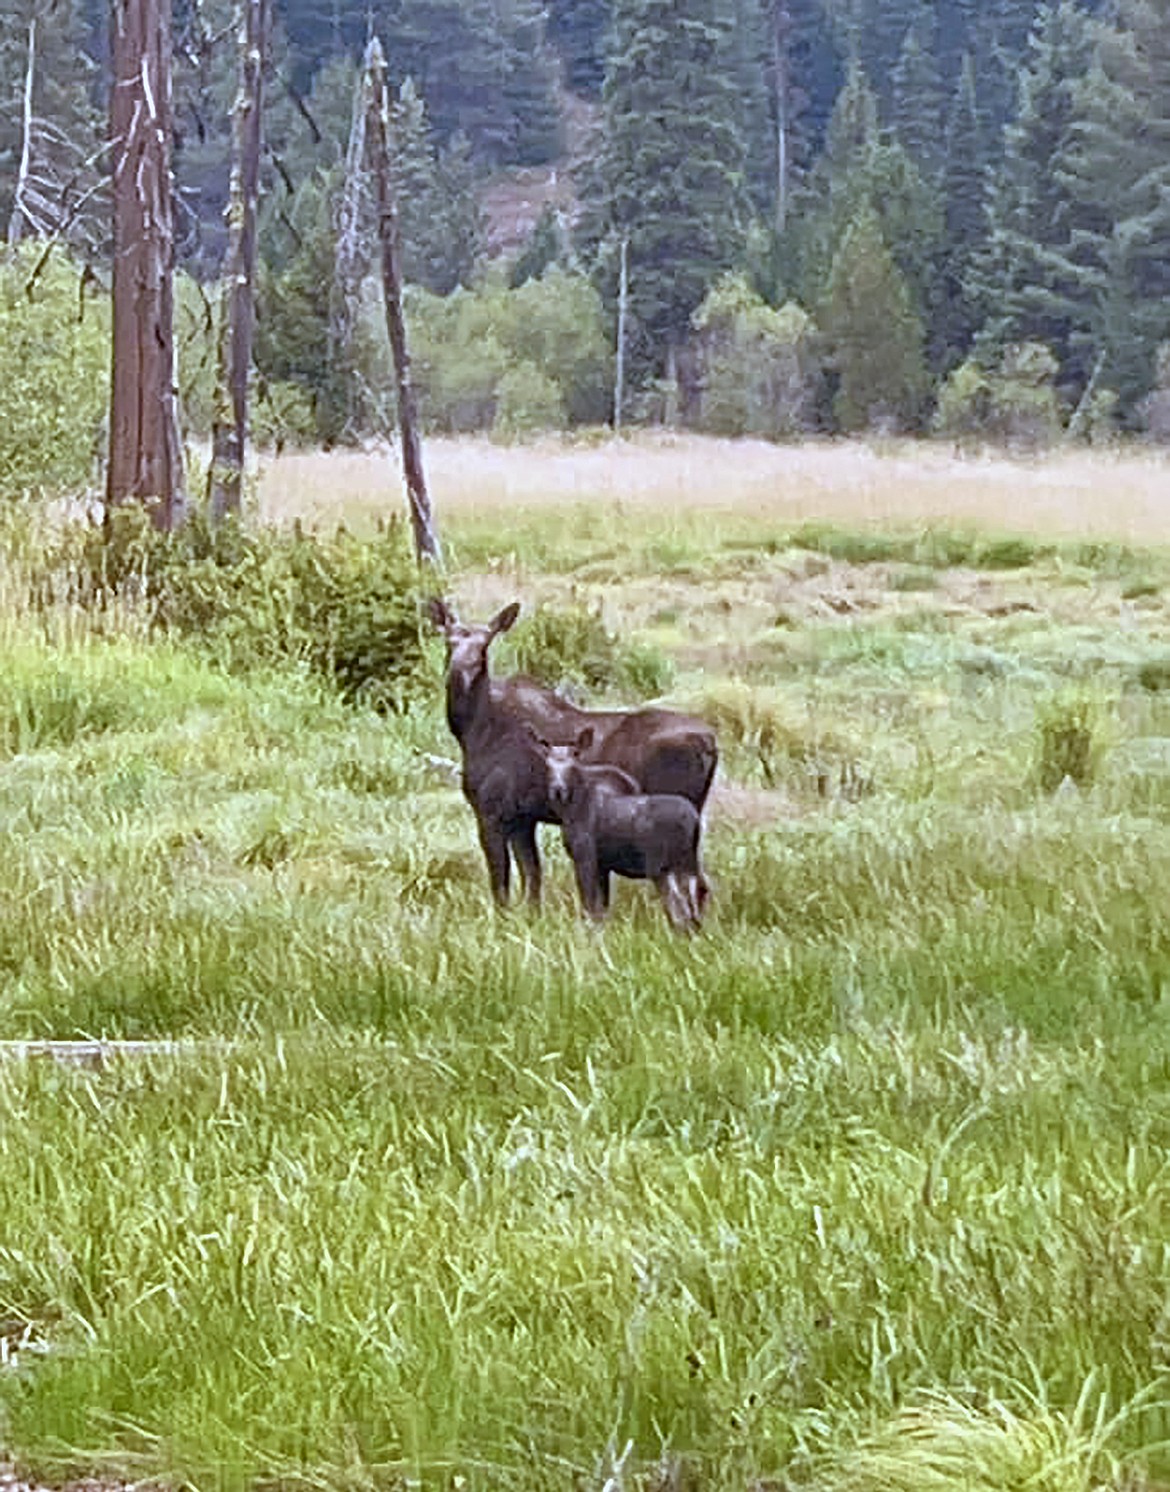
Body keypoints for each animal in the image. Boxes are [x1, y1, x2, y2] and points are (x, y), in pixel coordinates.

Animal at [540, 725, 713, 925]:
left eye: (574, 758)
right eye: (547, 764)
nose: (558, 789)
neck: (570, 811)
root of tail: (694, 821)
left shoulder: (585, 857)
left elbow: (590, 907)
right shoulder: (603, 864)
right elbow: (601, 909)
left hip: (662, 866)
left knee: (679, 909)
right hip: (689, 862)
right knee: (699, 892)